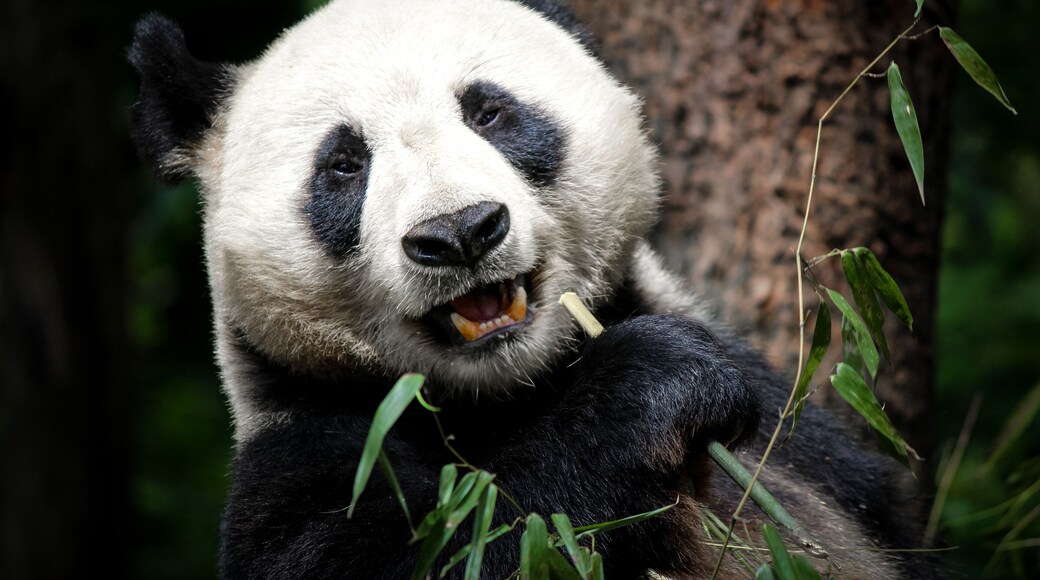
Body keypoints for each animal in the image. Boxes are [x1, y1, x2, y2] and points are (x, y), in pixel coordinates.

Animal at [129, 0, 933, 577]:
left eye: (489, 111)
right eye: (344, 163)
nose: (459, 232)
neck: (515, 392)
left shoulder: (805, 448)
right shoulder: (313, 450)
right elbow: (491, 542)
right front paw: (650, 386)